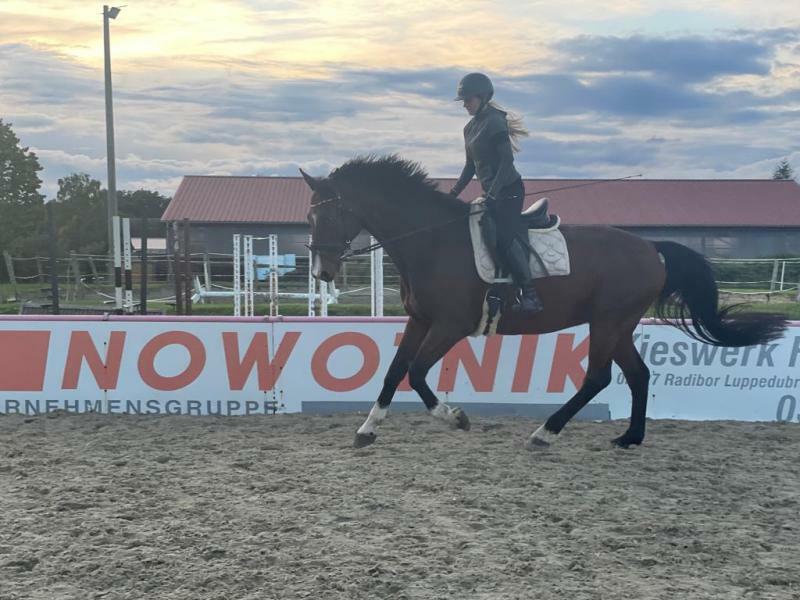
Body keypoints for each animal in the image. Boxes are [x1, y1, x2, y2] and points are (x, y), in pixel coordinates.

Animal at [298, 157, 788, 448]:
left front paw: (455, 418)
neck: (432, 241)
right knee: (638, 374)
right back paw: (629, 438)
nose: (322, 272)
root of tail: (652, 248)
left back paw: (545, 432)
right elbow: (394, 371)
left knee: (598, 377)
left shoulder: (451, 325)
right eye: (309, 215)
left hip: (608, 322)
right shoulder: (420, 321)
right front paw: (367, 429)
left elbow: (416, 374)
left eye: (333, 212)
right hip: (619, 324)